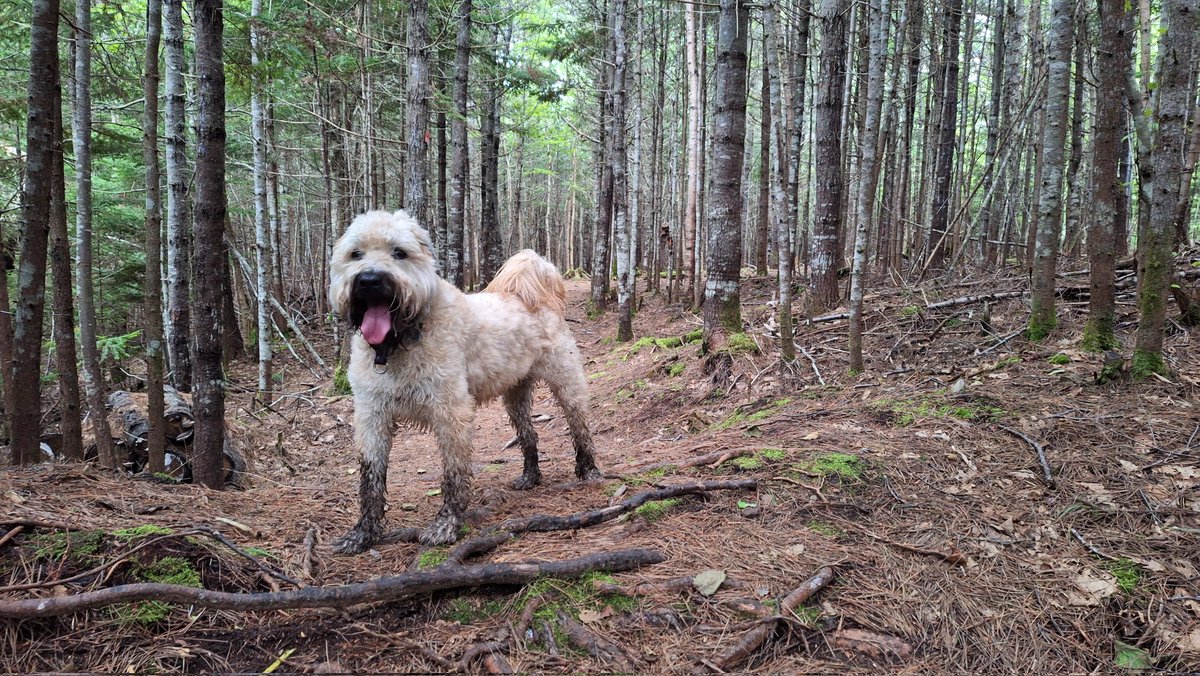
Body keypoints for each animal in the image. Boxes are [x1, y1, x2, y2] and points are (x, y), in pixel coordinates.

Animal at [326, 211, 600, 554]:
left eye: (399, 253)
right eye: (355, 254)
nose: (370, 280)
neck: (401, 341)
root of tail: (530, 293)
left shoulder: (451, 413)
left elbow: (454, 474)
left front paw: (446, 525)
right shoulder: (372, 416)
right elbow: (370, 478)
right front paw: (363, 533)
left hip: (566, 382)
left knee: (580, 427)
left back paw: (589, 470)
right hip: (515, 396)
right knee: (529, 434)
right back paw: (530, 476)